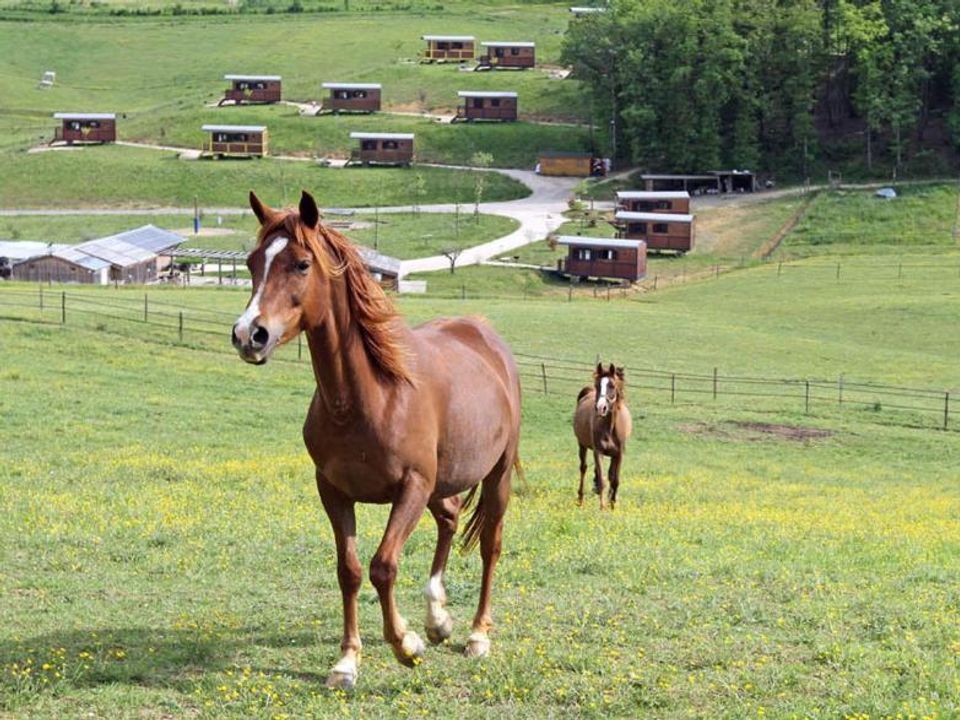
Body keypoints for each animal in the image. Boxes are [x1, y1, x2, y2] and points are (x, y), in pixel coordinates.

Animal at [231, 190, 524, 688]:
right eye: (253, 262)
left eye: (302, 264)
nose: (249, 335)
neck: (371, 397)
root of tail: (484, 333)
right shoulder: (332, 490)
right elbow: (348, 570)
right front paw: (347, 661)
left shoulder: (411, 487)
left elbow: (383, 566)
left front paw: (406, 645)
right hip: (442, 482)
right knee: (449, 519)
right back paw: (438, 618)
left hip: (494, 476)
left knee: (490, 545)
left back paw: (476, 635)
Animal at [572, 362, 632, 510]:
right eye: (597, 385)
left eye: (612, 385)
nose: (601, 408)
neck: (610, 428)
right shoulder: (598, 451)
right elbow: (602, 480)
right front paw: (602, 507)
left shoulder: (619, 454)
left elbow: (615, 480)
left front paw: (613, 505)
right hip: (582, 445)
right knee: (583, 468)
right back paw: (580, 499)